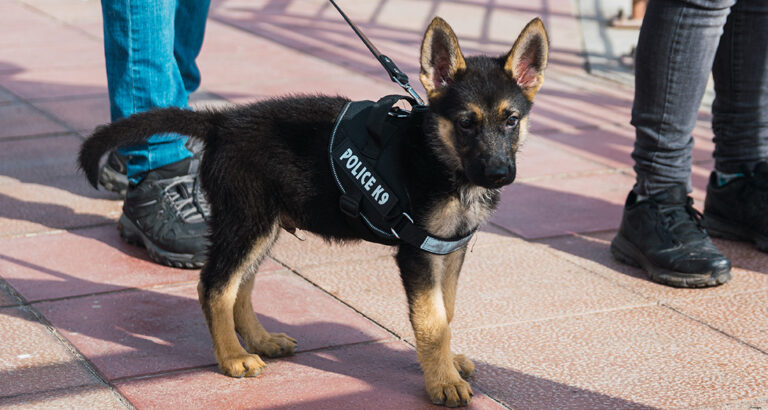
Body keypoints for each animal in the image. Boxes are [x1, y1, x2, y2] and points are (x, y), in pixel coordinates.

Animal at [79, 16, 544, 406]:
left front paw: (449, 363)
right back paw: (232, 356)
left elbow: (446, 311)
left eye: (511, 120)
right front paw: (442, 382)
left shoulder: (449, 249)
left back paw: (259, 340)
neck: (438, 156)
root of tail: (222, 124)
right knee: (214, 286)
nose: (499, 173)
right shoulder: (417, 254)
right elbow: (430, 320)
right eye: (466, 122)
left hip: (261, 227)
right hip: (246, 222)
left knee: (241, 286)